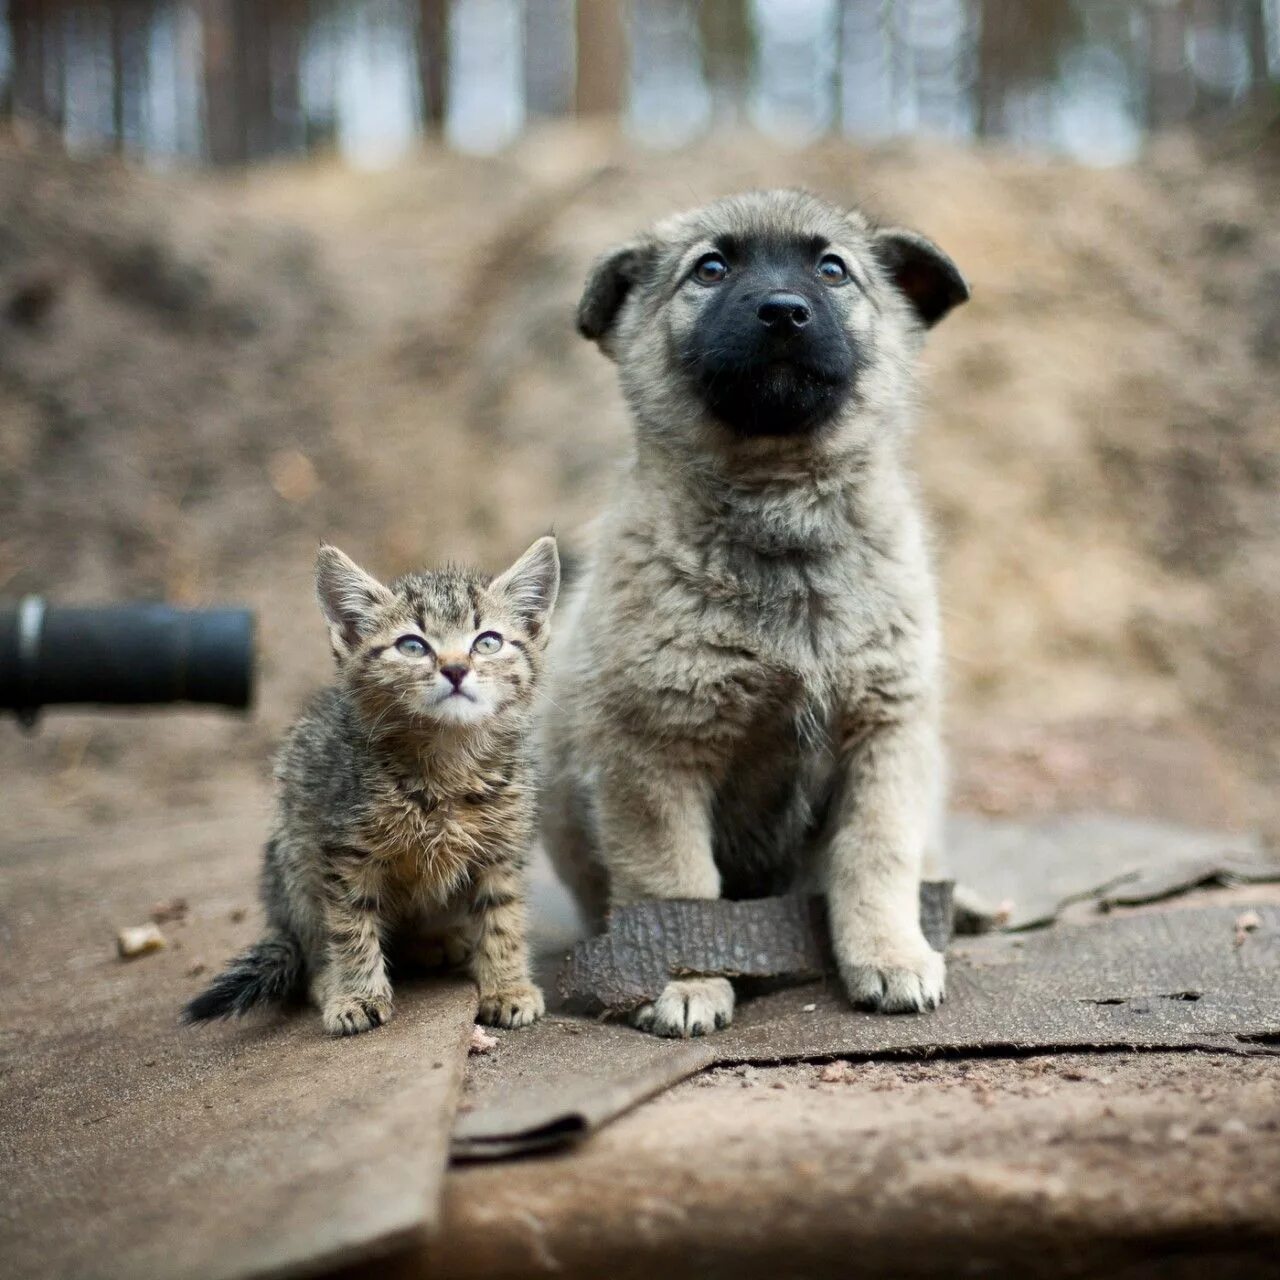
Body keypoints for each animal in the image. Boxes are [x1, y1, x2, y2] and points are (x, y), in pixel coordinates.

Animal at [185, 535, 560, 1034]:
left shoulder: (502, 850)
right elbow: (351, 926)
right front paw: (357, 995)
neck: (447, 764)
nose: (456, 669)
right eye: (412, 646)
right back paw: (329, 979)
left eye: (488, 641)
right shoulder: (344, 852)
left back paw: (439, 940)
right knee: (312, 943)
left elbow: (503, 918)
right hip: (293, 858)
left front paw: (507, 985)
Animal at [540, 185, 967, 1034]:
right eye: (710, 268)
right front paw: (687, 981)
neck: (781, 514)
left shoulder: (887, 735)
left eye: (833, 269)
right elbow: (674, 883)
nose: (782, 312)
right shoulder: (655, 753)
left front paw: (891, 956)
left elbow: (877, 856)